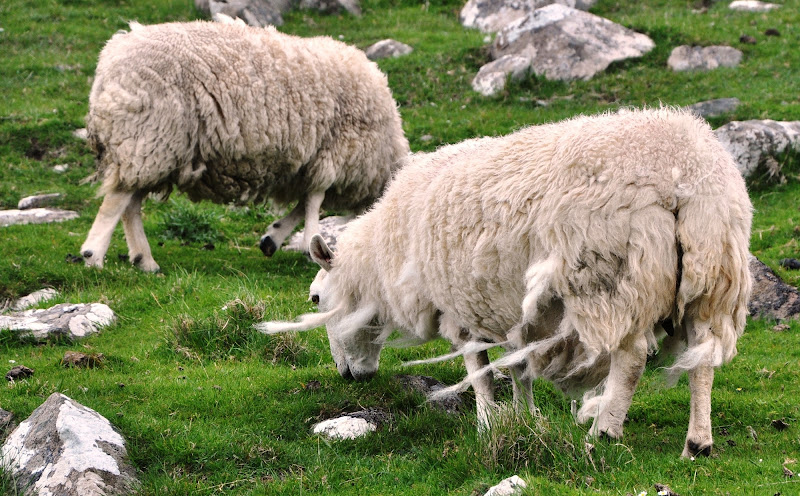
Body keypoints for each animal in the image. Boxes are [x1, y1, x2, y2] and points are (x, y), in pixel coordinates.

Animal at [78, 17, 410, 272]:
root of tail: (109, 63)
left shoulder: (311, 162)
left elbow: (304, 202)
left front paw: (274, 237)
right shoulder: (336, 151)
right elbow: (314, 198)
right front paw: (309, 241)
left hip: (152, 148)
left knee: (131, 204)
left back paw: (143, 260)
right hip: (149, 135)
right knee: (117, 200)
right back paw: (94, 255)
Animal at [260, 108, 752, 458]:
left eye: (316, 297)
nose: (351, 377)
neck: (389, 253)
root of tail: (682, 175)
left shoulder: (460, 305)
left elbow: (478, 369)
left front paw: (486, 422)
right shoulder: (506, 305)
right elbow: (518, 366)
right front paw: (525, 417)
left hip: (611, 279)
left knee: (630, 360)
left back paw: (604, 432)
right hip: (712, 279)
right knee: (701, 360)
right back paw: (697, 444)